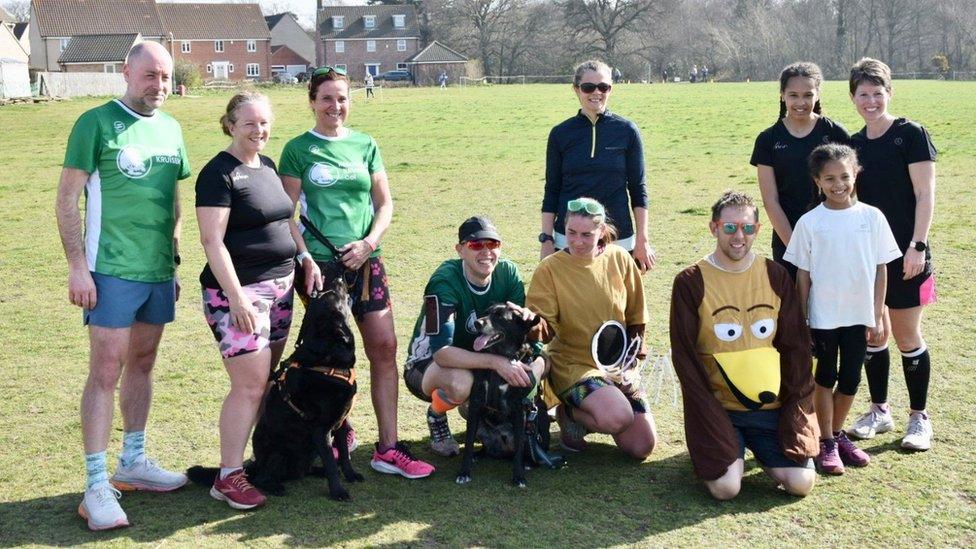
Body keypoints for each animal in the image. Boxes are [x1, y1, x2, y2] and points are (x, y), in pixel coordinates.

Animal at [187, 278, 362, 500]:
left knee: (302, 471)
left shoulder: (340, 422)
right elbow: (331, 462)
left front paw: (350, 474)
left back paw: (317, 471)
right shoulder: (321, 430)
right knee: (263, 478)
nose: (340, 278)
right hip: (279, 452)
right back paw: (275, 487)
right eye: (331, 295)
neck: (327, 361)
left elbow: (344, 455)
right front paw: (338, 491)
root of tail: (254, 465)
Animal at [454, 302, 560, 486]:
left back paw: (528, 463)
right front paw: (464, 472)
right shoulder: (475, 404)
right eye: (486, 313)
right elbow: (468, 444)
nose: (477, 323)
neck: (500, 357)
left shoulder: (520, 409)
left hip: (536, 425)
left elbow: (518, 450)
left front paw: (518, 476)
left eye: (500, 317)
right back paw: (478, 454)